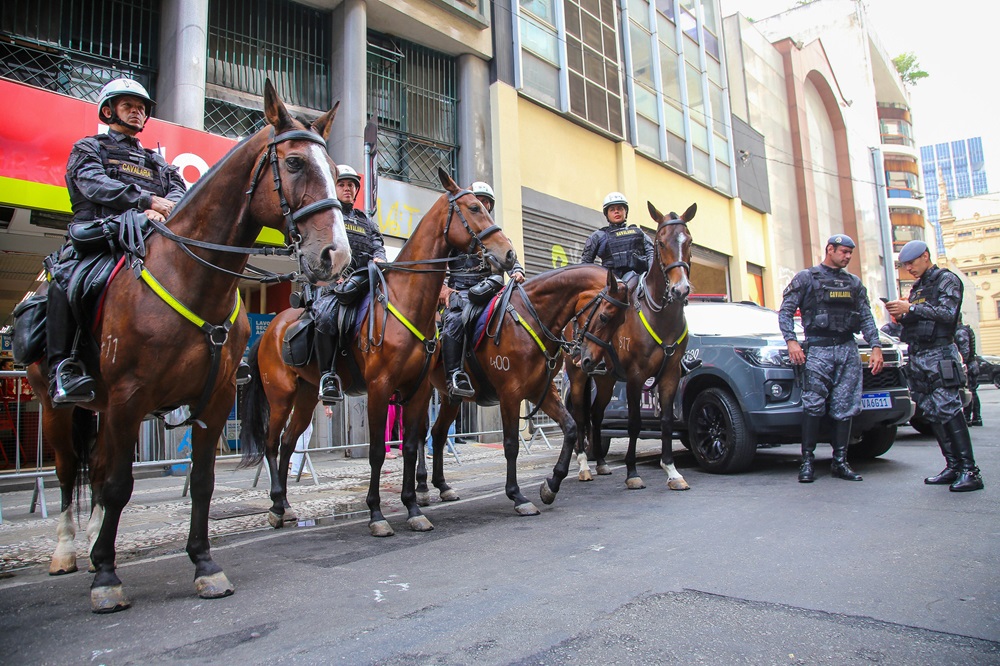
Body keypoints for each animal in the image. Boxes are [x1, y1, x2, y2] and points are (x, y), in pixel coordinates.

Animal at [26, 80, 352, 608]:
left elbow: (201, 482)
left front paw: (204, 564)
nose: (335, 255)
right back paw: (70, 550)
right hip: (59, 406)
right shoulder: (129, 398)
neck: (192, 277)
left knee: (97, 467)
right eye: (294, 162)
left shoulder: (213, 400)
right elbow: (119, 485)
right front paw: (107, 577)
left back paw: (96, 540)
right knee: (69, 470)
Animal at [236, 170, 516, 536]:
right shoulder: (380, 389)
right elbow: (377, 453)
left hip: (307, 394)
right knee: (271, 444)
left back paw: (285, 505)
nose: (508, 254)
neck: (406, 302)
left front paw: (413, 507)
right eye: (473, 208)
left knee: (287, 444)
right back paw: (275, 507)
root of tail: (272, 327)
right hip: (281, 395)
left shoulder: (418, 391)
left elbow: (410, 447)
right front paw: (376, 514)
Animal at [418, 262, 628, 510]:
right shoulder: (510, 394)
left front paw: (552, 485)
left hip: (450, 397)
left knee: (438, 433)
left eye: (621, 322)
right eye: (604, 317)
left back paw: (442, 486)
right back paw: (421, 489)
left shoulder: (541, 391)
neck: (532, 316)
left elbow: (570, 428)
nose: (590, 362)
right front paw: (516, 495)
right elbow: (511, 445)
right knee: (420, 434)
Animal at [552, 202, 700, 498]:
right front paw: (632, 473)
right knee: (581, 416)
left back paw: (600, 463)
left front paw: (672, 471)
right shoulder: (635, 376)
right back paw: (584, 466)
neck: (660, 316)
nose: (680, 289)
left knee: (596, 414)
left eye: (688, 241)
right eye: (661, 242)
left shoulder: (670, 375)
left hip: (606, 379)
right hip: (578, 375)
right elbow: (634, 423)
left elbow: (667, 421)